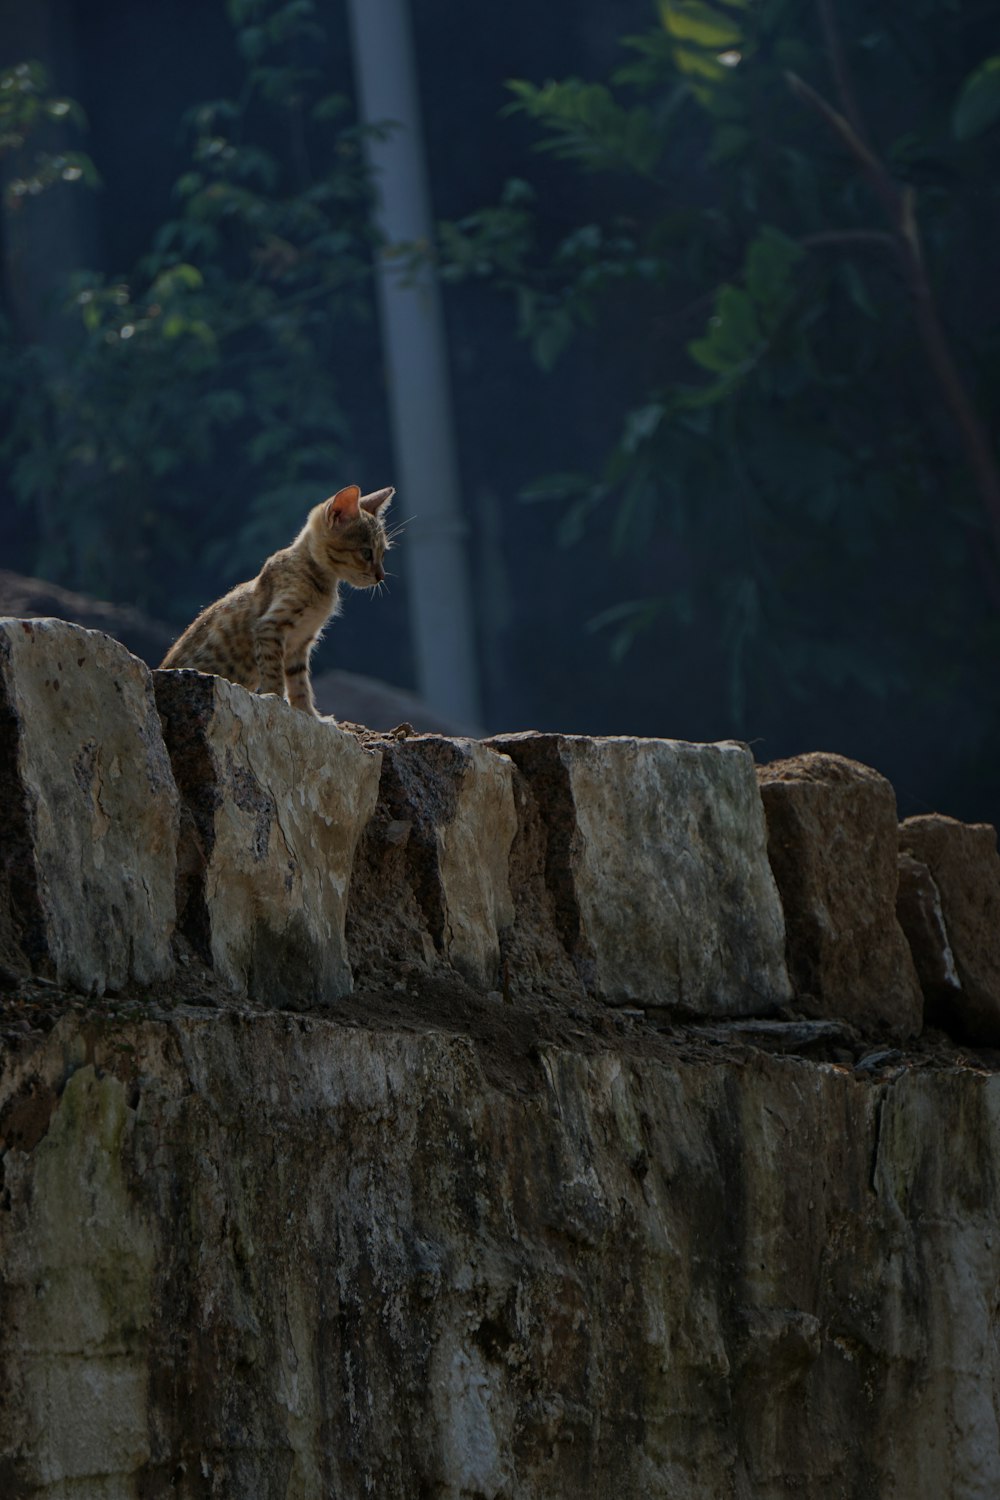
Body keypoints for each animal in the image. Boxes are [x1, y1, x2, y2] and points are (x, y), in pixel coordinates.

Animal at [160, 480, 395, 714]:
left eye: (383, 554)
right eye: (366, 553)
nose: (381, 576)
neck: (321, 582)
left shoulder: (300, 644)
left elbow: (300, 683)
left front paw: (308, 714)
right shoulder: (270, 626)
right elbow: (273, 670)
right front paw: (274, 698)